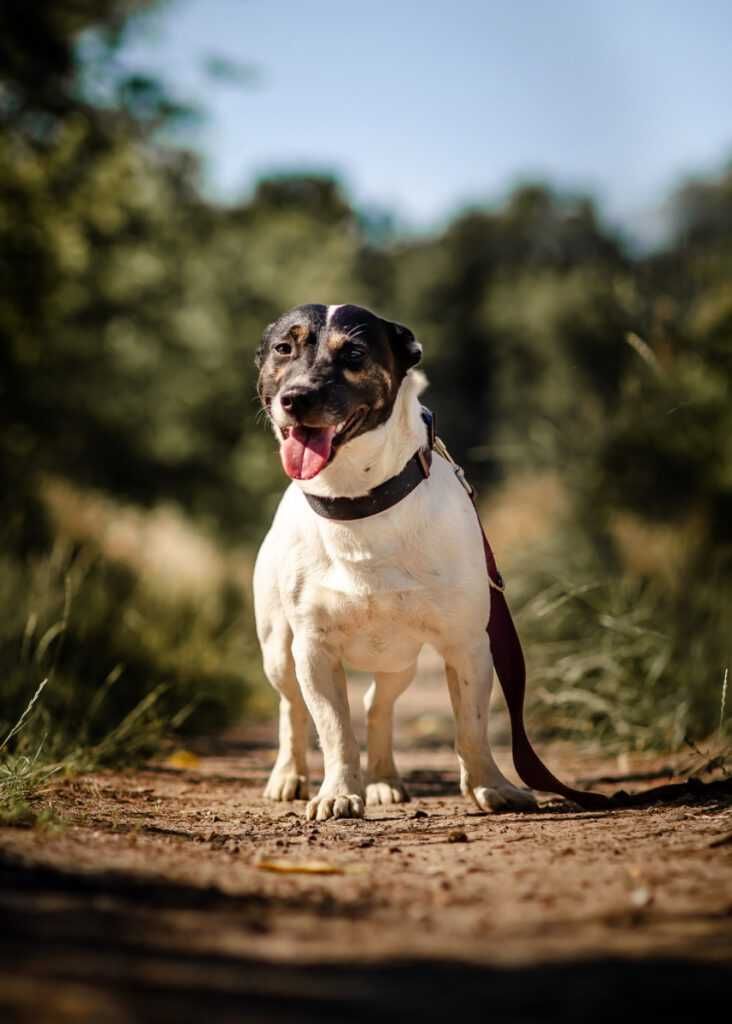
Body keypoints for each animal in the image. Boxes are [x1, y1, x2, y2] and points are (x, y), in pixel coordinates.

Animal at [255, 303, 536, 823]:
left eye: (354, 353)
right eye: (284, 347)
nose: (295, 398)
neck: (357, 502)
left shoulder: (467, 645)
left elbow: (472, 726)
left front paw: (491, 787)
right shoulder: (313, 651)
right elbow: (335, 731)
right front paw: (338, 793)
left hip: (400, 661)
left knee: (376, 705)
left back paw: (384, 780)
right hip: (278, 652)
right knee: (292, 709)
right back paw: (289, 775)